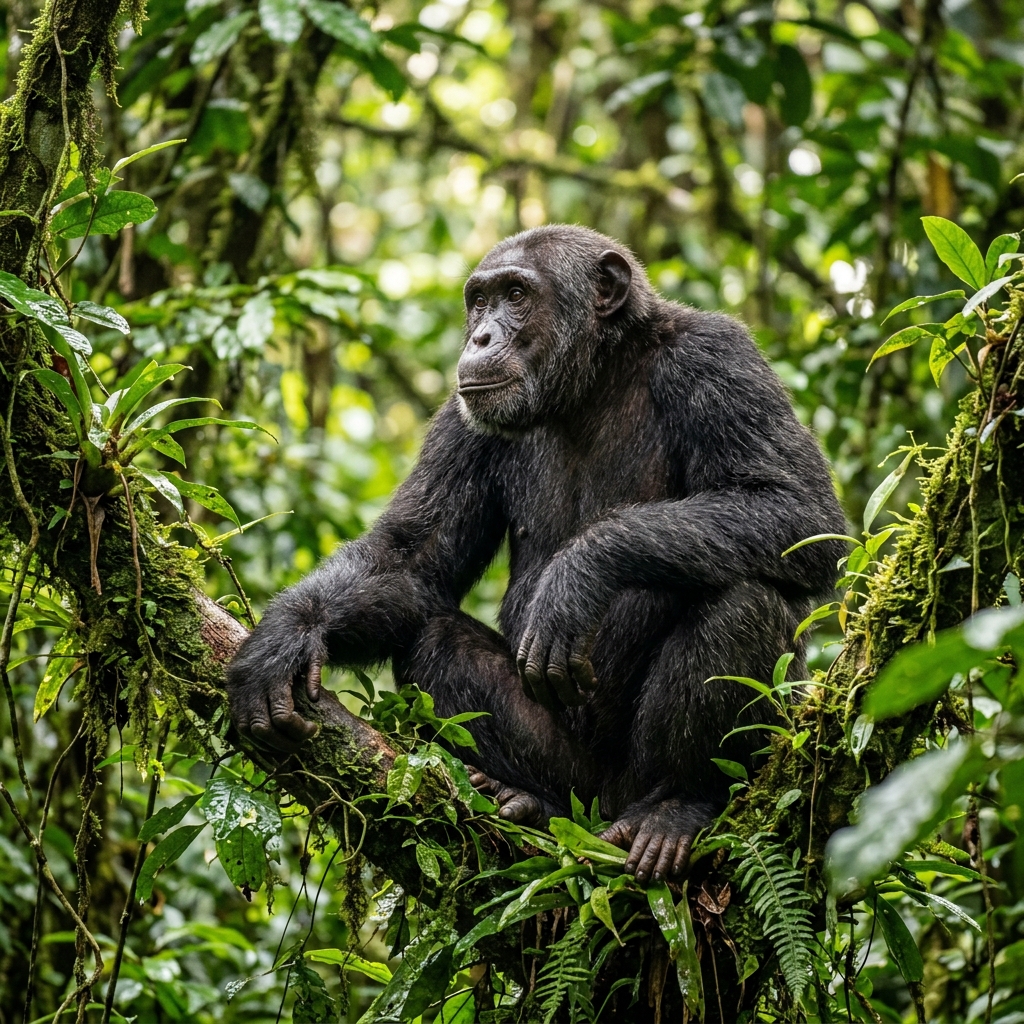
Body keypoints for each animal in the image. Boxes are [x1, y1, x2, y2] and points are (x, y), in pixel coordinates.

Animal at [226, 224, 845, 884]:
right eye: (479, 300)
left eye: (517, 295)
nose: (480, 336)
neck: (593, 381)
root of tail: (607, 808)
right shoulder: (460, 420)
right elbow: (412, 557)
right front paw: (285, 637)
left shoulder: (719, 359)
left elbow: (797, 510)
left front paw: (578, 576)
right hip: (574, 778)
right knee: (435, 639)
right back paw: (528, 802)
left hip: (645, 780)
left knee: (744, 599)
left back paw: (677, 806)